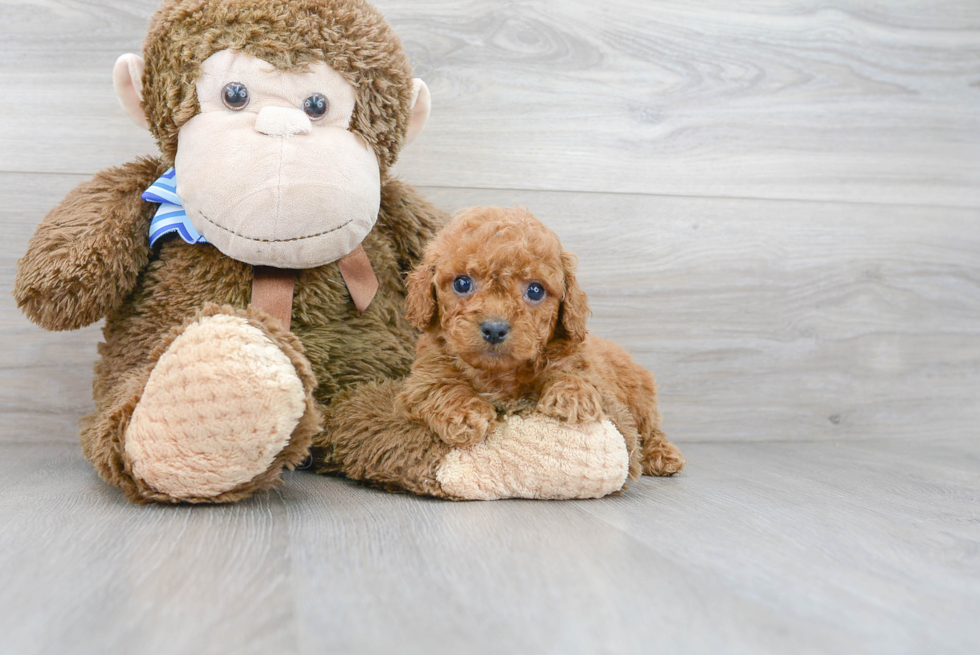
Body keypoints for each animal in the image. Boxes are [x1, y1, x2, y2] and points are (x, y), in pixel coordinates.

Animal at [394, 206, 684, 476]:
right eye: (462, 284)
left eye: (535, 290)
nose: (494, 329)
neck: (499, 374)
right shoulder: (422, 380)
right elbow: (441, 387)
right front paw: (465, 414)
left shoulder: (586, 369)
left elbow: (577, 374)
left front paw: (572, 397)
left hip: (641, 399)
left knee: (649, 429)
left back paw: (662, 455)